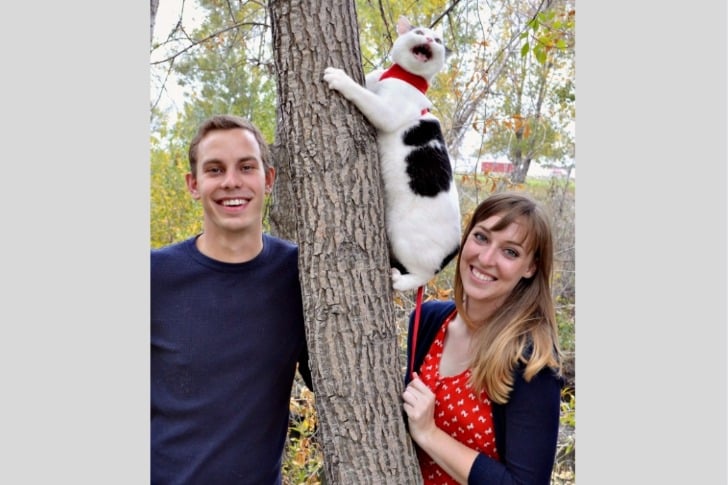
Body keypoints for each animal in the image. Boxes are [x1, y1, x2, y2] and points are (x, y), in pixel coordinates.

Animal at [323, 16, 461, 292]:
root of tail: (456, 248)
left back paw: (399, 279)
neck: (401, 76)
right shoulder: (373, 80)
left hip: (404, 238)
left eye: (438, 40)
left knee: (422, 276)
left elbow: (360, 92)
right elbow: (367, 83)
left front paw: (339, 78)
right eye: (419, 32)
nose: (428, 39)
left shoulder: (386, 111)